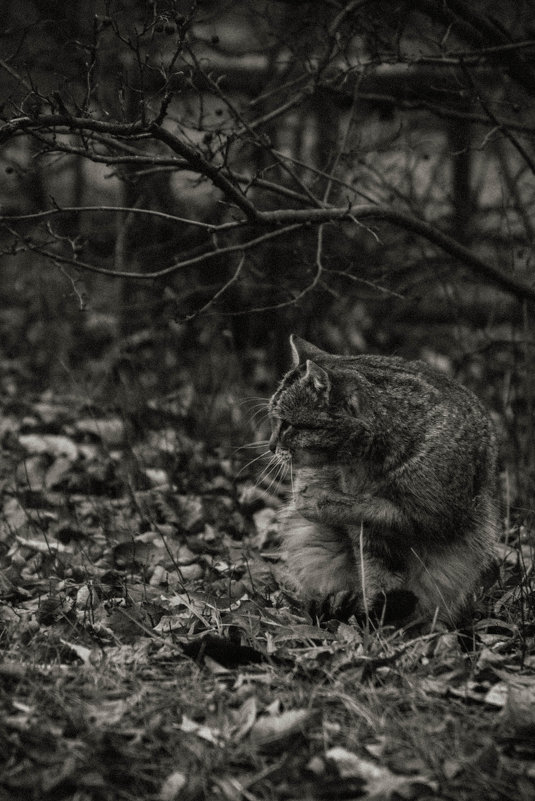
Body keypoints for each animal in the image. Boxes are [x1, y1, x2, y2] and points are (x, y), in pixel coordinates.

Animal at [270, 334, 500, 628]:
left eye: (286, 424)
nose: (270, 446)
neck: (368, 461)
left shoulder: (437, 516)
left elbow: (372, 509)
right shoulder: (368, 537)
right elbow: (374, 571)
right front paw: (373, 617)